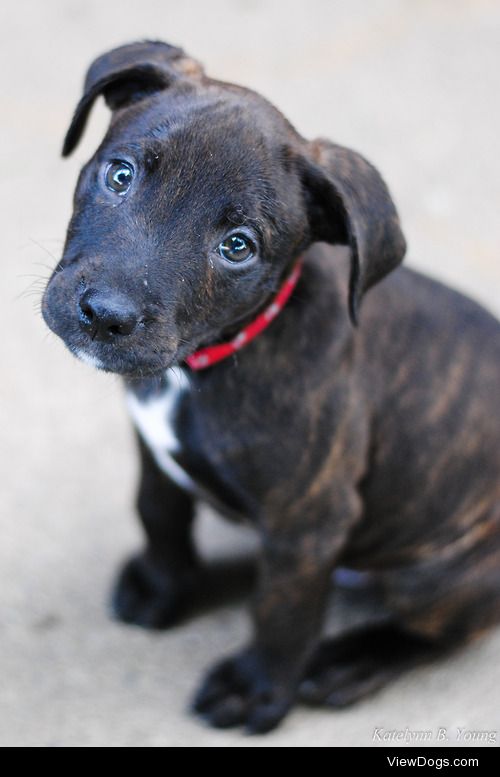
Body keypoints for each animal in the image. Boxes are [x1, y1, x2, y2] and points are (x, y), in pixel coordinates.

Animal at [43, 41, 500, 732]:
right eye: (119, 175)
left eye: (238, 247)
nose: (105, 315)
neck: (206, 365)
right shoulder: (152, 450)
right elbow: (158, 511)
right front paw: (164, 584)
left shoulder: (309, 519)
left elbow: (284, 609)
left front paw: (257, 688)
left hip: (436, 573)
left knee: (437, 631)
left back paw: (352, 660)